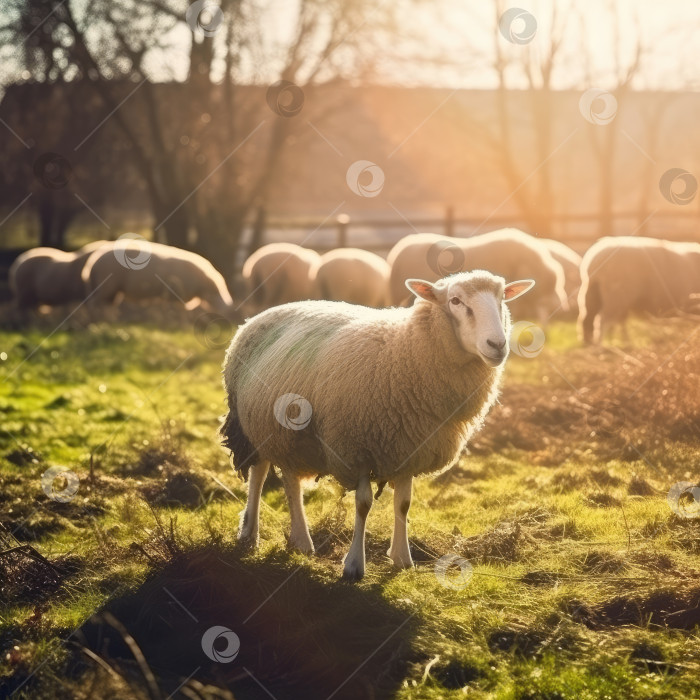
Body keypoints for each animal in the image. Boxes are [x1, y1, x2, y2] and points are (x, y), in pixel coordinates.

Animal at [81, 239, 235, 314]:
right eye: (217, 294)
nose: (228, 308)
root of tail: (92, 263)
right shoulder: (175, 295)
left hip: (112, 290)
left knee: (106, 306)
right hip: (106, 286)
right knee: (94, 305)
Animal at [221, 268, 532, 580]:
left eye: (502, 298)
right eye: (455, 300)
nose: (497, 345)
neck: (405, 352)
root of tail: (257, 316)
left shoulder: (409, 447)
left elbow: (403, 504)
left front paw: (402, 558)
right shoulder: (355, 447)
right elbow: (363, 504)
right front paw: (354, 565)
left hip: (285, 434)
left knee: (289, 478)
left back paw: (298, 541)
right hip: (251, 424)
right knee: (260, 475)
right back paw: (254, 535)